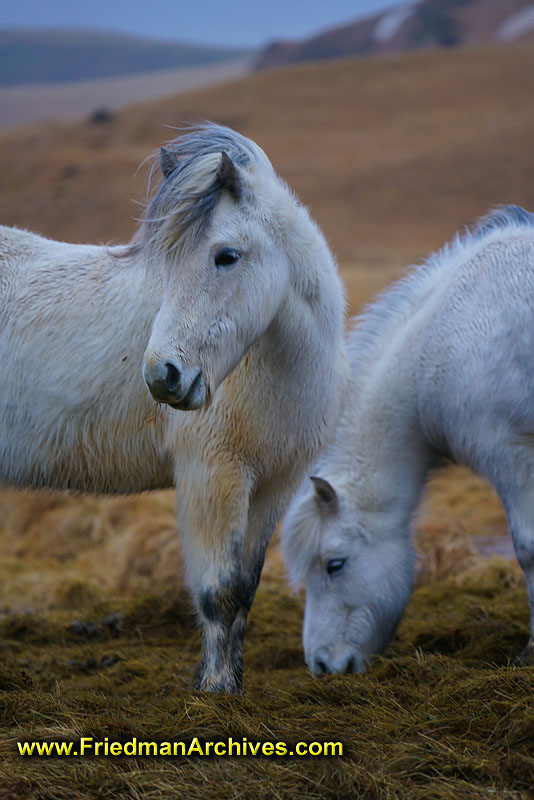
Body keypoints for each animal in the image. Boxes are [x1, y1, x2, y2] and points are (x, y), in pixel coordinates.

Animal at [0, 125, 348, 692]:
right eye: (166, 262)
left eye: (225, 256)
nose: (162, 376)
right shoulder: (213, 479)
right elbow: (218, 593)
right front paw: (215, 689)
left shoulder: (274, 485)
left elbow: (245, 589)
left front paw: (229, 682)